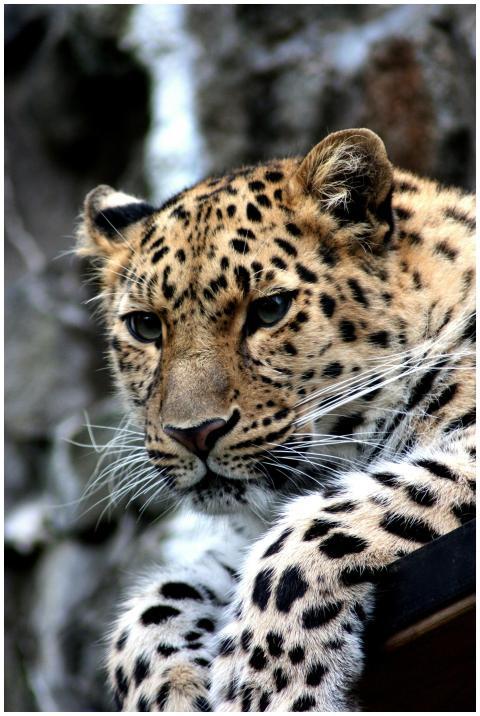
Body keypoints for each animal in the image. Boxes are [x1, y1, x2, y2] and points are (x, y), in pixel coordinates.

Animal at [76, 128, 475, 712]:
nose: (193, 433)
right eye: (145, 326)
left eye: (269, 311)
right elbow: (154, 606)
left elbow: (312, 531)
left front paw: (267, 687)